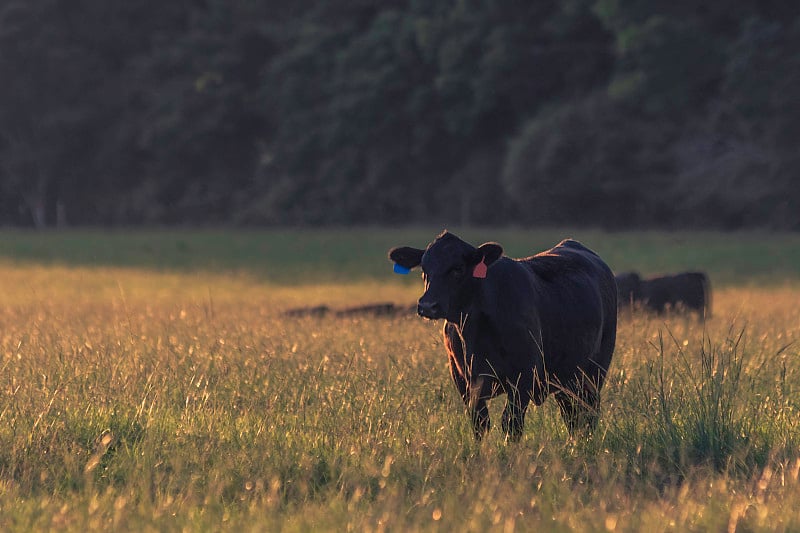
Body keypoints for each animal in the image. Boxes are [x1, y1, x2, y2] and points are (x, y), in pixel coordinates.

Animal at [390, 231, 620, 438]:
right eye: (424, 269)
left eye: (458, 268)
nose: (427, 305)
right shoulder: (463, 379)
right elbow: (480, 423)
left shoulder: (524, 376)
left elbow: (511, 423)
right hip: (567, 379)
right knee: (572, 417)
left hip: (594, 373)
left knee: (587, 415)